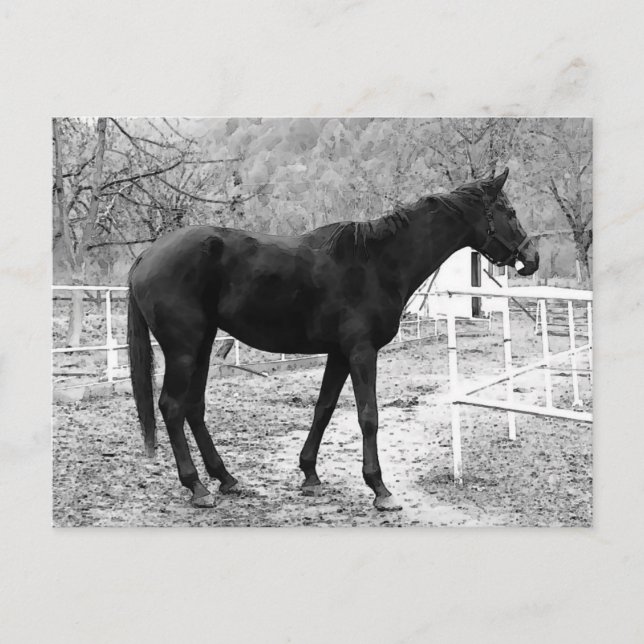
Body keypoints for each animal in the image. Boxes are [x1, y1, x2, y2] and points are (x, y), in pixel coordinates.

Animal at [127, 167, 538, 511]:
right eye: (509, 210)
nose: (531, 258)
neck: (378, 263)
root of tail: (148, 255)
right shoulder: (361, 352)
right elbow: (368, 416)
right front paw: (380, 489)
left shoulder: (339, 355)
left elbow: (323, 409)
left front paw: (309, 474)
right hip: (183, 350)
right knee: (172, 407)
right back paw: (196, 486)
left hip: (203, 345)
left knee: (194, 408)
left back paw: (225, 478)